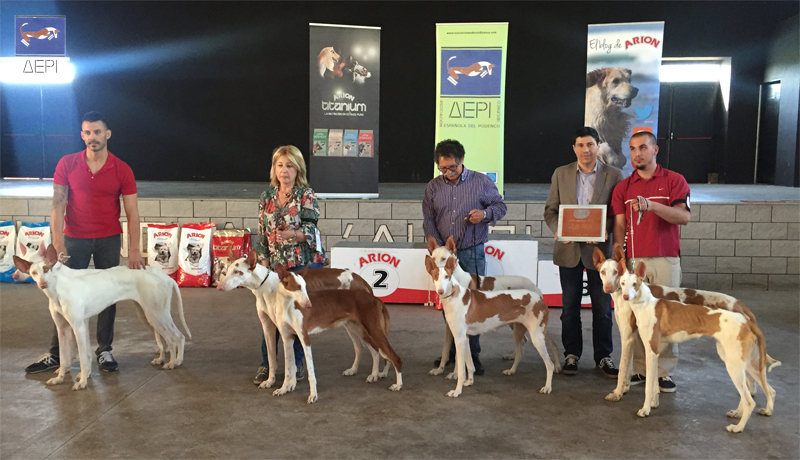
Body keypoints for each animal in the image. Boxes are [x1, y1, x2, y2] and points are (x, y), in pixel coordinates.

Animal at [14, 245, 191, 390]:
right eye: (33, 272)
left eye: (46, 269)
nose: (42, 284)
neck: (59, 288)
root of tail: (165, 277)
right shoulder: (65, 328)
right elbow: (67, 357)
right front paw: (61, 378)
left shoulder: (78, 327)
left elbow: (82, 356)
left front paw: (82, 381)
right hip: (148, 315)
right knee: (173, 338)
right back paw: (169, 359)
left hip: (156, 315)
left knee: (174, 338)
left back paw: (173, 362)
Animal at [216, 249, 395, 393]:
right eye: (228, 270)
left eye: (238, 272)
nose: (219, 287)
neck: (267, 288)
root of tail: (362, 281)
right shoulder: (268, 326)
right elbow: (272, 358)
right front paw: (270, 381)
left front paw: (290, 383)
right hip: (351, 325)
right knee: (361, 348)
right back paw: (354, 370)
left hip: (366, 326)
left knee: (375, 349)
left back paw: (374, 375)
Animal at [425, 254, 557, 397]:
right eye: (435, 276)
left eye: (447, 276)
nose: (440, 291)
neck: (455, 296)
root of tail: (539, 297)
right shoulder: (465, 338)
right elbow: (470, 365)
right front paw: (469, 381)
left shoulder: (459, 339)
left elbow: (461, 371)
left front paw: (457, 391)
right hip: (518, 331)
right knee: (520, 352)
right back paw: (511, 370)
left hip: (537, 336)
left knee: (549, 365)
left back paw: (547, 387)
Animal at [593, 246, 780, 403]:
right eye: (602, 272)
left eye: (616, 272)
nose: (608, 288)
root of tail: (740, 304)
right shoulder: (631, 336)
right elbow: (627, 367)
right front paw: (624, 389)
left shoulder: (628, 337)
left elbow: (623, 368)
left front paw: (617, 393)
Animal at [618, 260, 777, 432]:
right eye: (622, 283)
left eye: (635, 284)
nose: (625, 296)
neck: (646, 304)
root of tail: (746, 321)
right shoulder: (655, 352)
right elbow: (653, 383)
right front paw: (653, 403)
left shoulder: (651, 351)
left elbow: (648, 386)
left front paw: (645, 410)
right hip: (747, 364)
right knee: (770, 390)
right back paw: (761, 411)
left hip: (734, 366)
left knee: (749, 401)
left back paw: (738, 427)